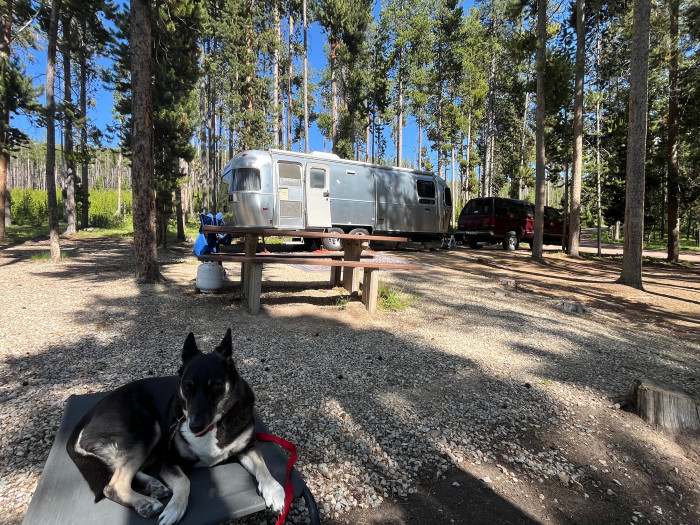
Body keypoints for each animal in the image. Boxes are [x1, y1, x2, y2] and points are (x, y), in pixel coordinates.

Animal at [66, 329, 285, 525]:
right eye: (187, 387)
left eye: (215, 386)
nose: (194, 426)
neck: (215, 425)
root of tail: (85, 419)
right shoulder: (170, 460)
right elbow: (184, 481)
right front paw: (174, 508)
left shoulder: (248, 447)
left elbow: (263, 468)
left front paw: (274, 491)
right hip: (146, 428)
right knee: (114, 484)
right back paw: (146, 502)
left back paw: (153, 485)